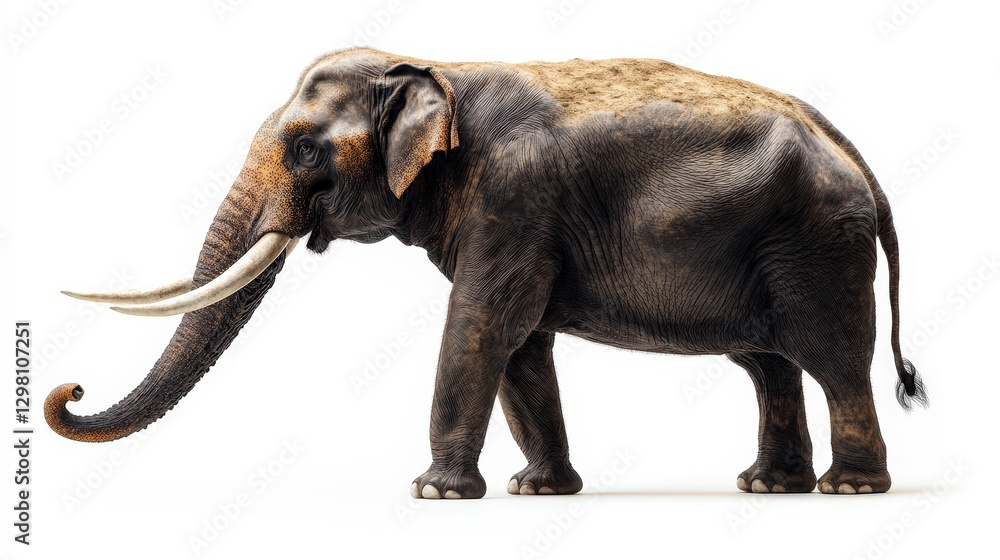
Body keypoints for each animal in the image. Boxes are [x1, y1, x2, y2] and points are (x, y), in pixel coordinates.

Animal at [46, 48, 928, 499]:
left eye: (304, 150)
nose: (71, 387)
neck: (434, 66)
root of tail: (862, 164)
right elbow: (520, 346)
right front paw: (537, 492)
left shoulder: (516, 198)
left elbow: (479, 325)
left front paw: (434, 496)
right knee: (769, 364)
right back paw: (766, 486)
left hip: (817, 245)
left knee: (833, 360)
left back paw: (848, 491)